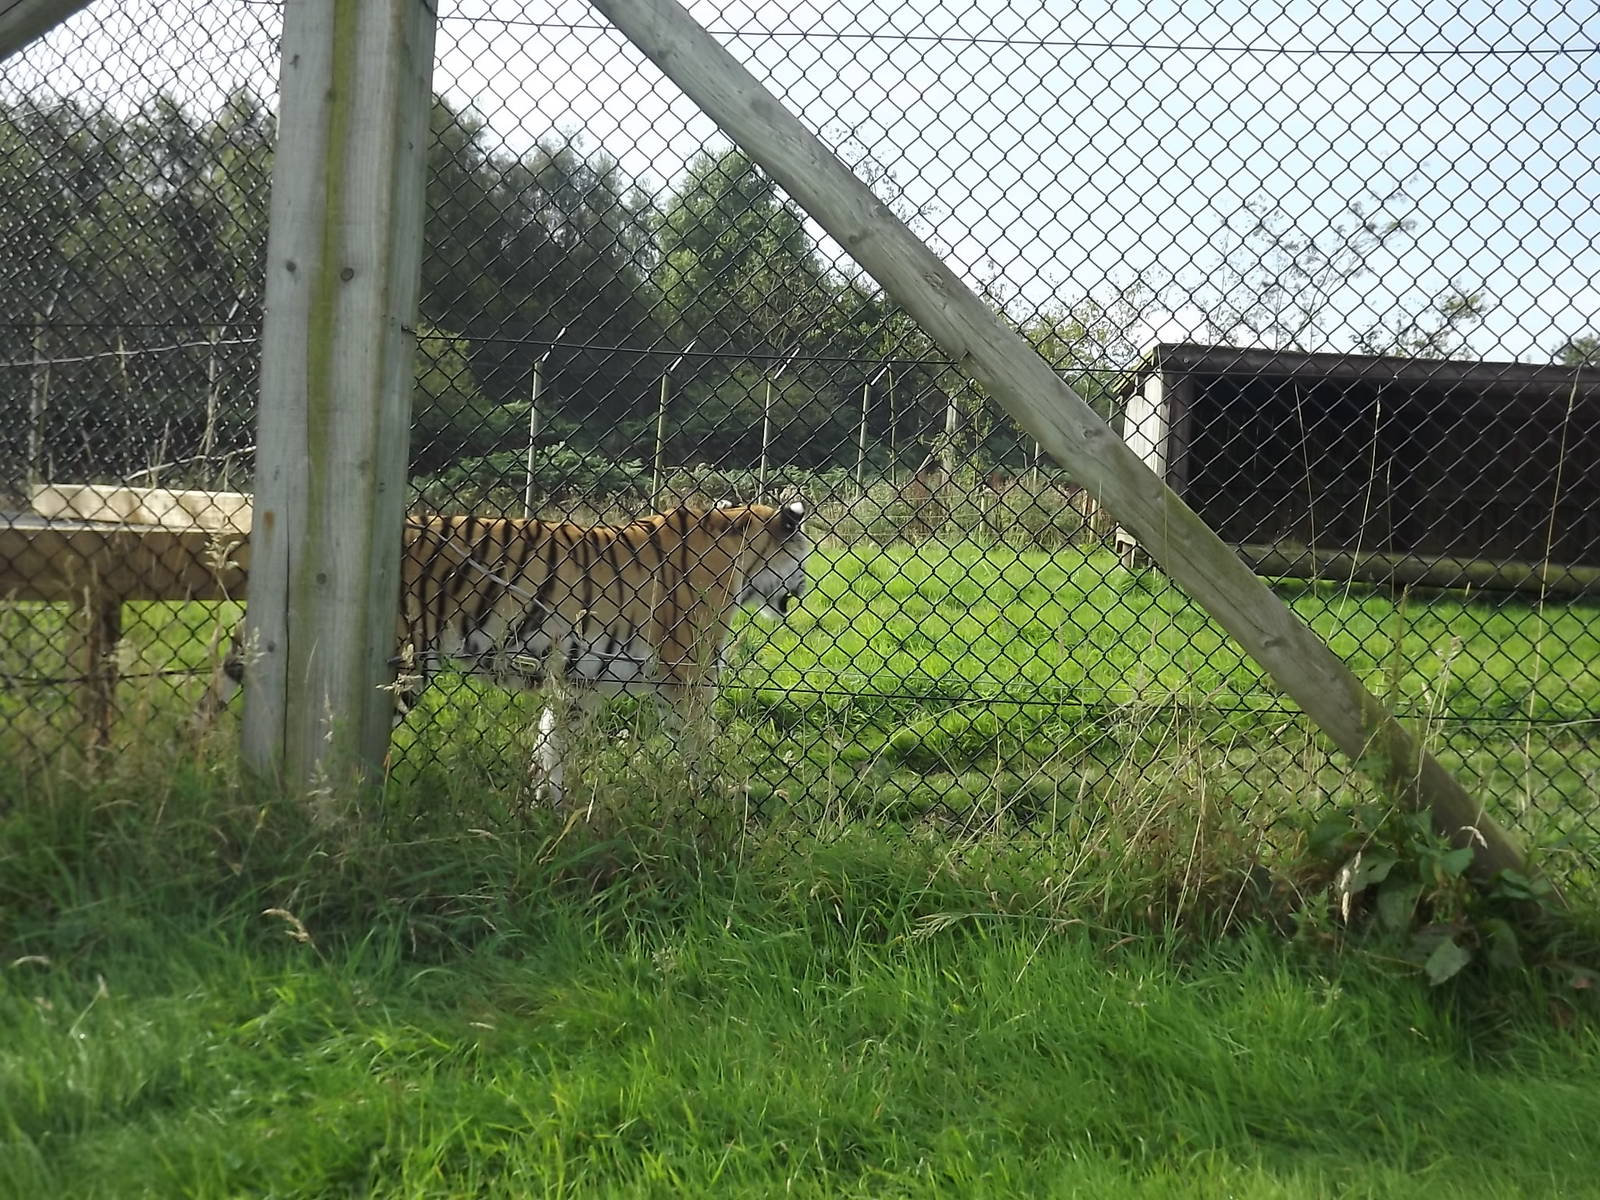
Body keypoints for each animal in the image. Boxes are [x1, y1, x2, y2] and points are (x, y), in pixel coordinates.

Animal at [200, 498, 810, 805]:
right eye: (803, 557)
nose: (804, 590)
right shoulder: (685, 675)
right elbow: (700, 742)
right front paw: (718, 795)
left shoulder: (580, 682)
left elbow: (553, 747)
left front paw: (549, 810)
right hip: (404, 665)